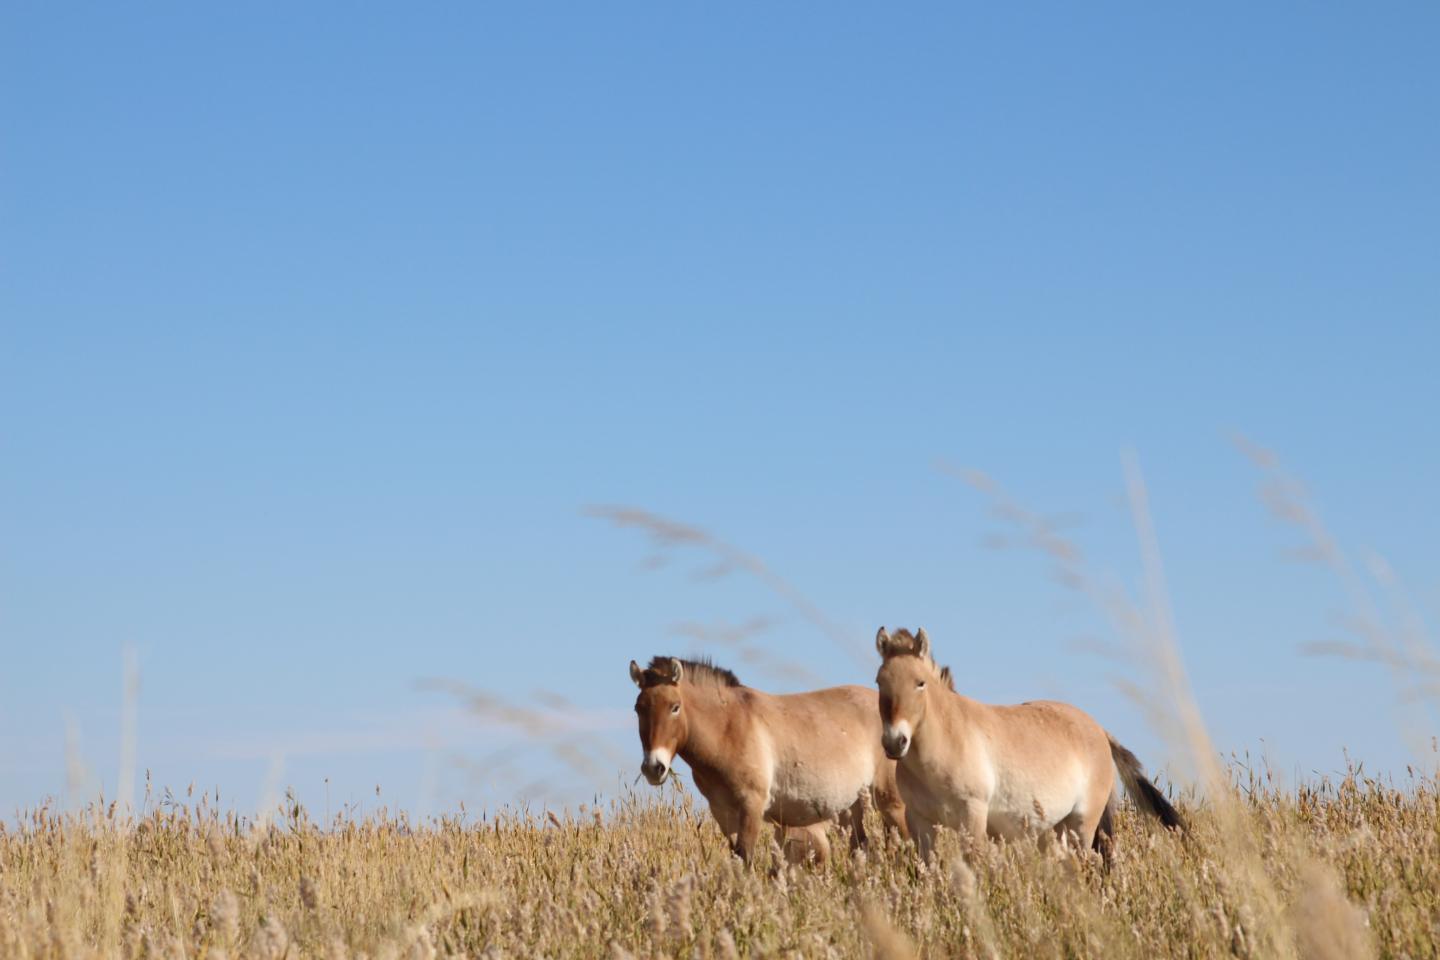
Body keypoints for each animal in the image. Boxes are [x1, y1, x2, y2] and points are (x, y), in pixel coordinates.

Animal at [629, 655, 909, 863]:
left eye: (674, 707)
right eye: (638, 708)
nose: (654, 768)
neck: (729, 728)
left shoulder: (751, 806)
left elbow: (746, 858)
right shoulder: (723, 813)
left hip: (890, 802)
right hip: (852, 808)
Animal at [873, 627, 1184, 861]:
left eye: (920, 683)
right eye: (879, 681)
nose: (894, 742)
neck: (946, 743)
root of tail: (1100, 730)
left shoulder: (972, 817)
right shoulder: (921, 823)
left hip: (1081, 825)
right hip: (1058, 828)